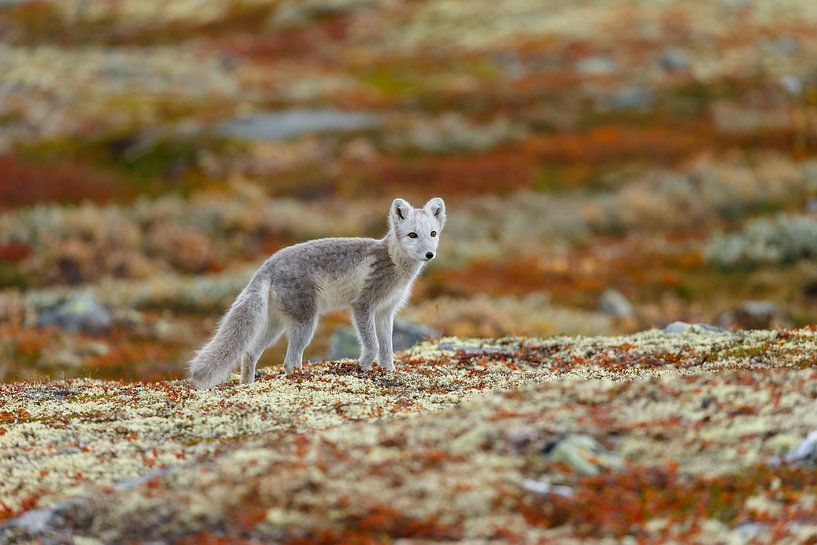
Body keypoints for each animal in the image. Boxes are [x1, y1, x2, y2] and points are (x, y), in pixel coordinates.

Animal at [186, 196, 446, 386]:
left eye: (433, 234)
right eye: (412, 235)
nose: (430, 254)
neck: (393, 261)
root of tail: (266, 266)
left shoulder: (385, 312)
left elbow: (387, 349)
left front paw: (389, 371)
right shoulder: (363, 306)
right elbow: (373, 345)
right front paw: (362, 368)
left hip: (276, 326)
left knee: (249, 353)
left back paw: (247, 386)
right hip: (306, 323)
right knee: (289, 361)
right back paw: (299, 378)